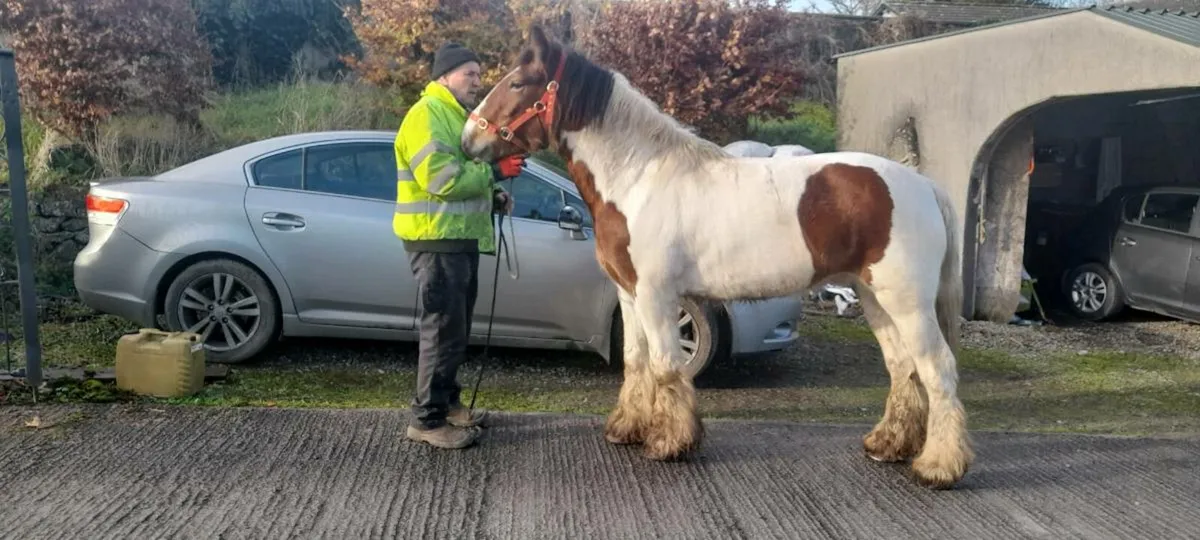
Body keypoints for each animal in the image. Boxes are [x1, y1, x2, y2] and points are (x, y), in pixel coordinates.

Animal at [461, 26, 974, 489]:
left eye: (518, 84)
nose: (468, 139)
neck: (638, 178)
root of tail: (923, 185)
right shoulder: (628, 295)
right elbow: (635, 361)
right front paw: (627, 428)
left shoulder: (657, 296)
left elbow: (666, 365)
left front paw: (670, 443)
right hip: (874, 298)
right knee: (903, 368)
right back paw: (888, 445)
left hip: (907, 302)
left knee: (938, 369)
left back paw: (938, 468)